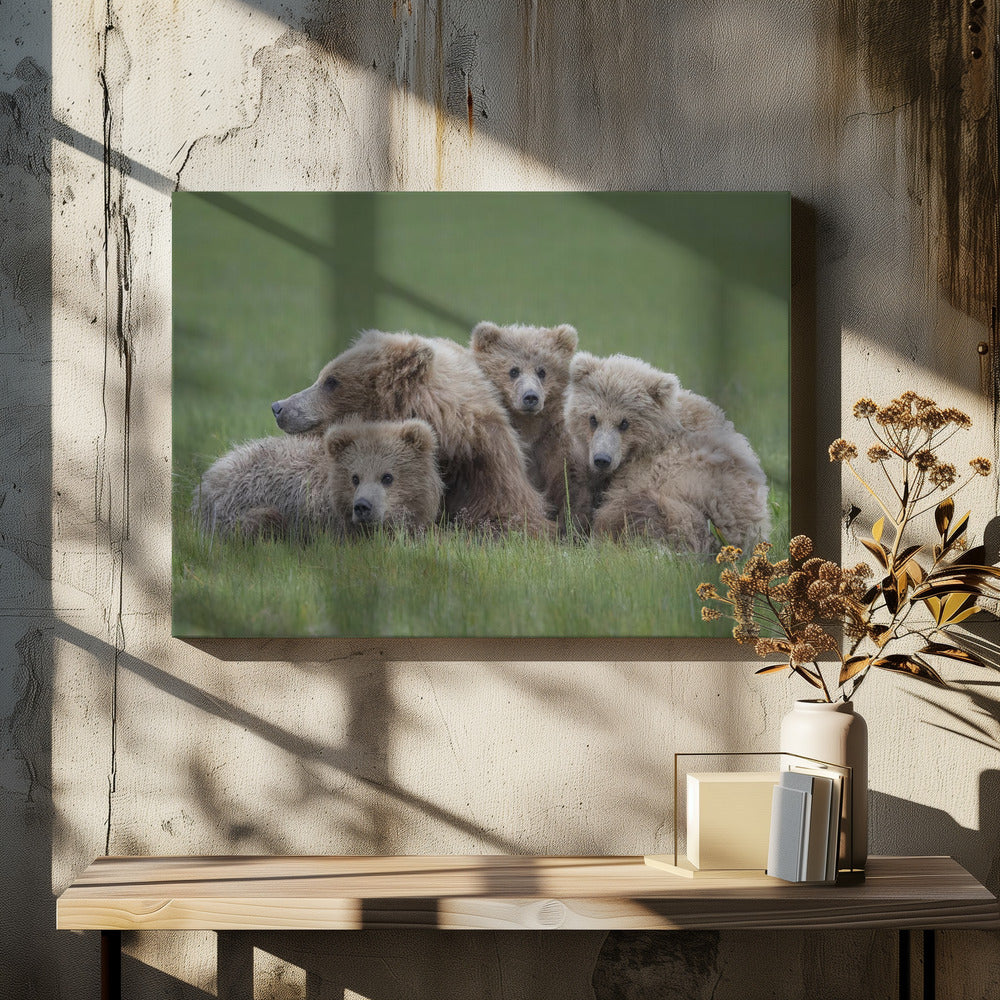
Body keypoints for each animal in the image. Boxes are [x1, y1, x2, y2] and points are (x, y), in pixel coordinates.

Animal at [469, 321, 581, 520]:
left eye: (542, 371)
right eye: (514, 371)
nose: (530, 397)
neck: (528, 425)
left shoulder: (551, 439)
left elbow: (567, 480)